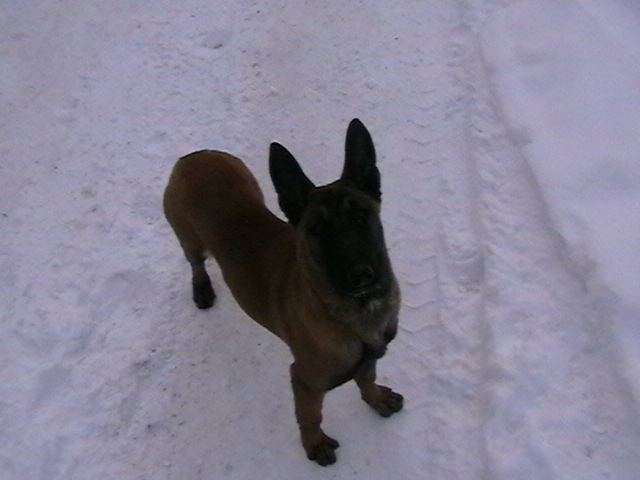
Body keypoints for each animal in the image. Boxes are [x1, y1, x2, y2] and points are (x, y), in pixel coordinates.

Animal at [162, 117, 402, 464]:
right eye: (318, 229)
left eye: (361, 215)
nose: (360, 276)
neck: (355, 310)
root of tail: (194, 155)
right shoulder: (305, 380)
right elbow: (310, 415)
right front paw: (314, 444)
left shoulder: (370, 357)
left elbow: (367, 378)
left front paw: (376, 399)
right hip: (189, 237)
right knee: (196, 262)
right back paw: (202, 289)